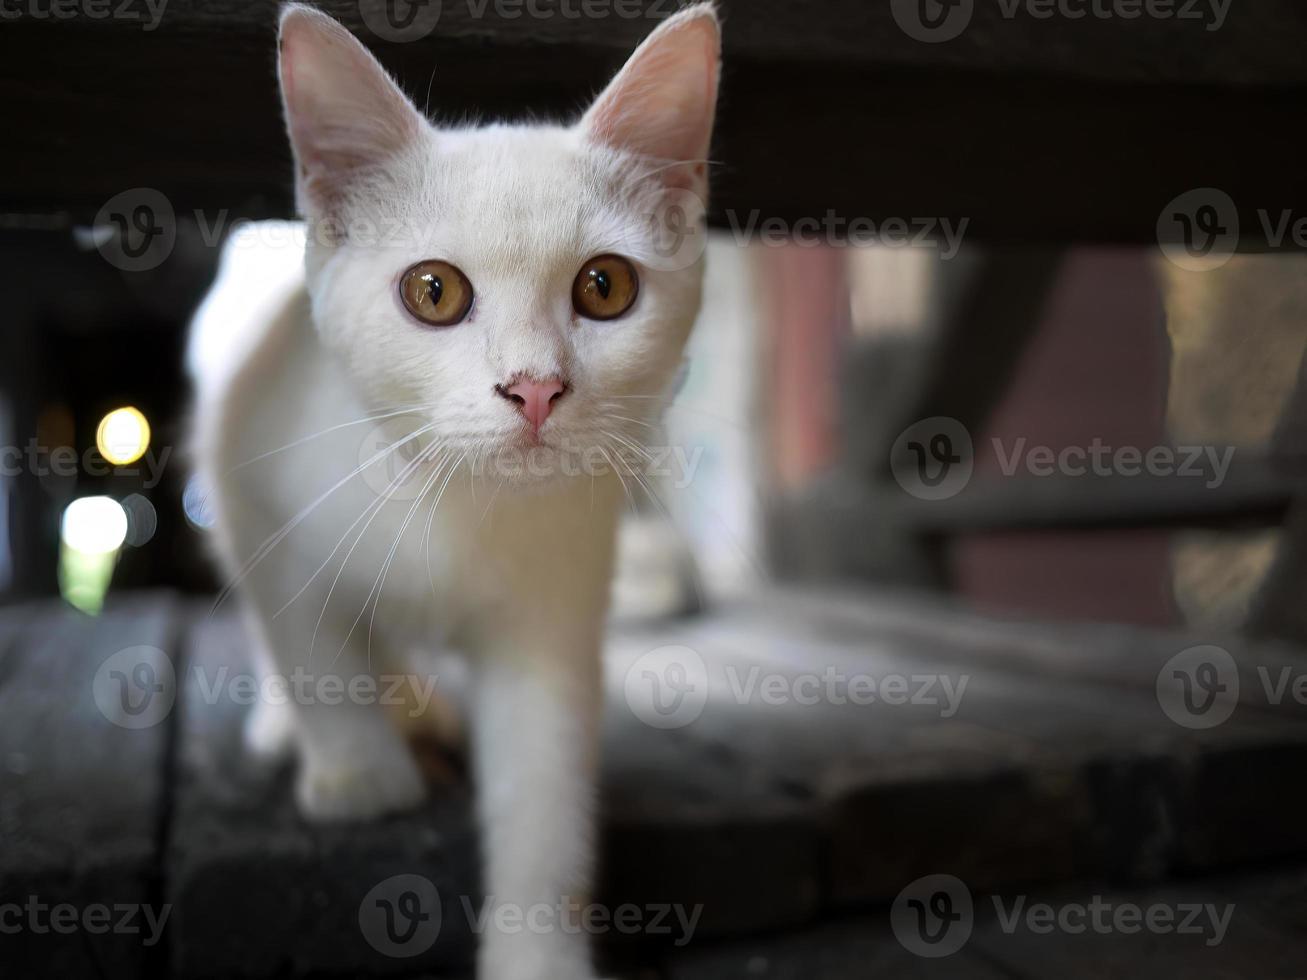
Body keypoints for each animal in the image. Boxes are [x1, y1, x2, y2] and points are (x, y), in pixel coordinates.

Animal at [190, 3, 726, 977]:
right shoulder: (253, 482)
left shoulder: (554, 606)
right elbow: (306, 637)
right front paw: (359, 771)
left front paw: (538, 949)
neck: (453, 501)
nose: (535, 387)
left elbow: (543, 784)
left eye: (606, 286)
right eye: (432, 291)